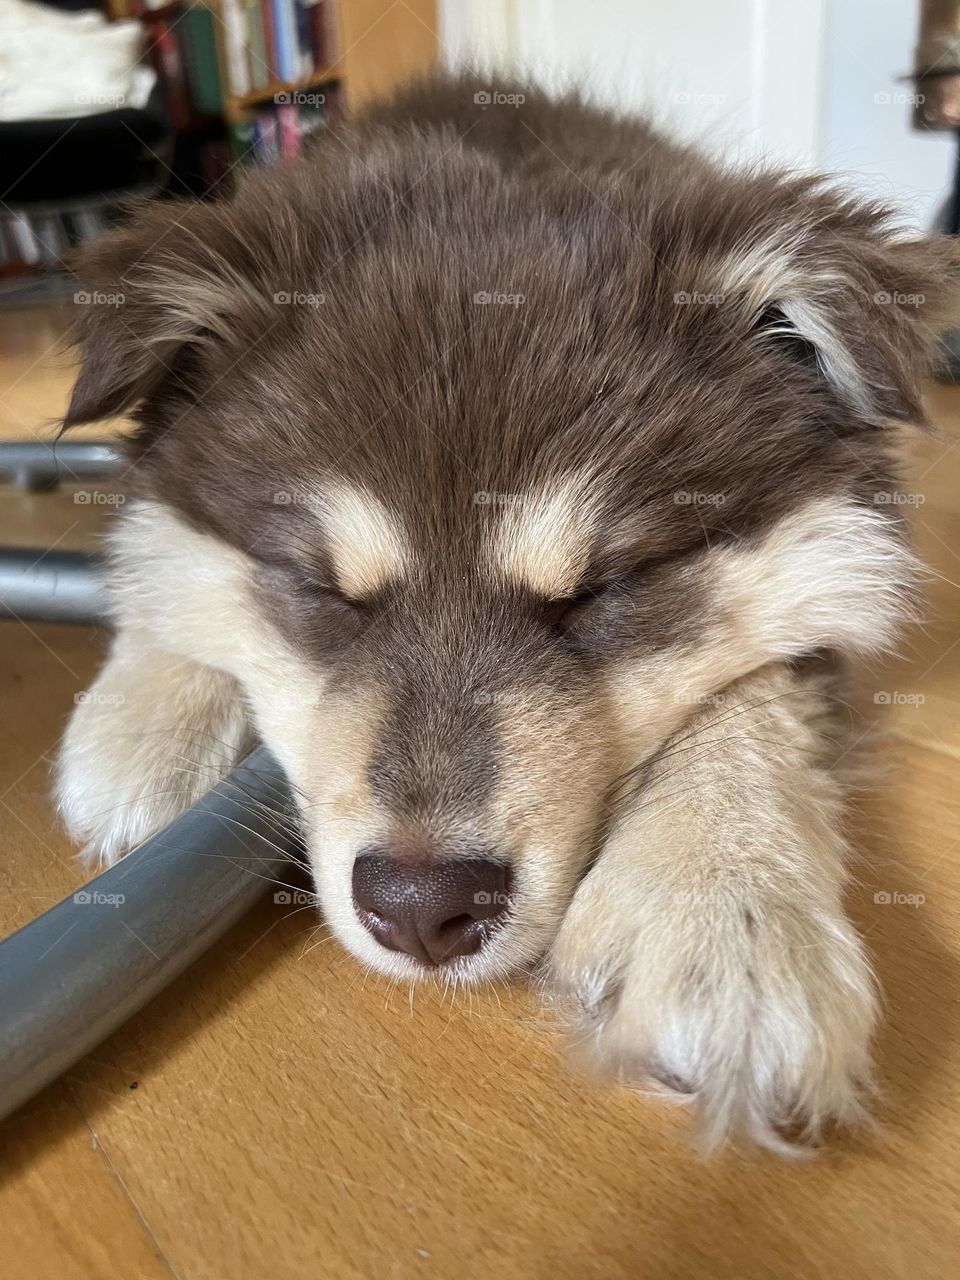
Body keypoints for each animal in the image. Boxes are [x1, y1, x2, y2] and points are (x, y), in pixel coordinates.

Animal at [54, 72, 960, 1152]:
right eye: (319, 586)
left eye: (606, 589)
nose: (419, 908)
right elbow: (159, 561)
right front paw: (145, 720)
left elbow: (757, 688)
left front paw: (726, 906)